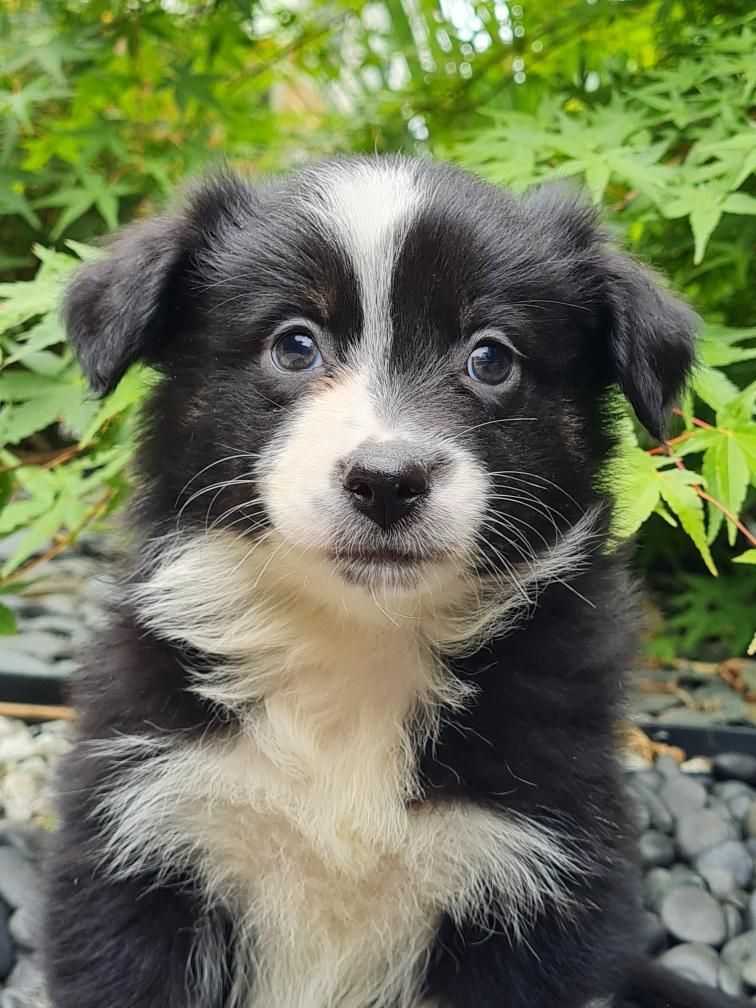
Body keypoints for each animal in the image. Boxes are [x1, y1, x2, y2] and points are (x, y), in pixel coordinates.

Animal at [43, 155, 745, 1008]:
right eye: (294, 345)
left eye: (490, 358)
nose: (386, 481)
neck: (355, 645)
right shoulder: (142, 851)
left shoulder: (530, 884)